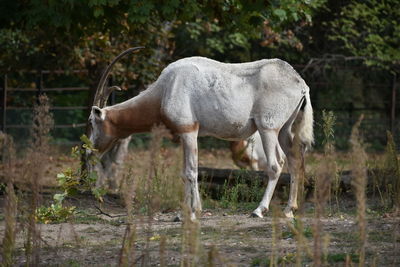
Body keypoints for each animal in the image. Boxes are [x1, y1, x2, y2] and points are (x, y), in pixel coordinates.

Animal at [87, 47, 312, 221]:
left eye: (91, 121)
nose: (90, 151)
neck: (166, 89)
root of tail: (301, 83)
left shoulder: (189, 131)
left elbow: (191, 171)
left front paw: (194, 212)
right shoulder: (184, 134)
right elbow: (184, 172)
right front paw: (183, 213)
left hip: (267, 128)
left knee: (276, 164)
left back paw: (259, 210)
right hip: (284, 130)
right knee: (294, 160)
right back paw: (289, 210)